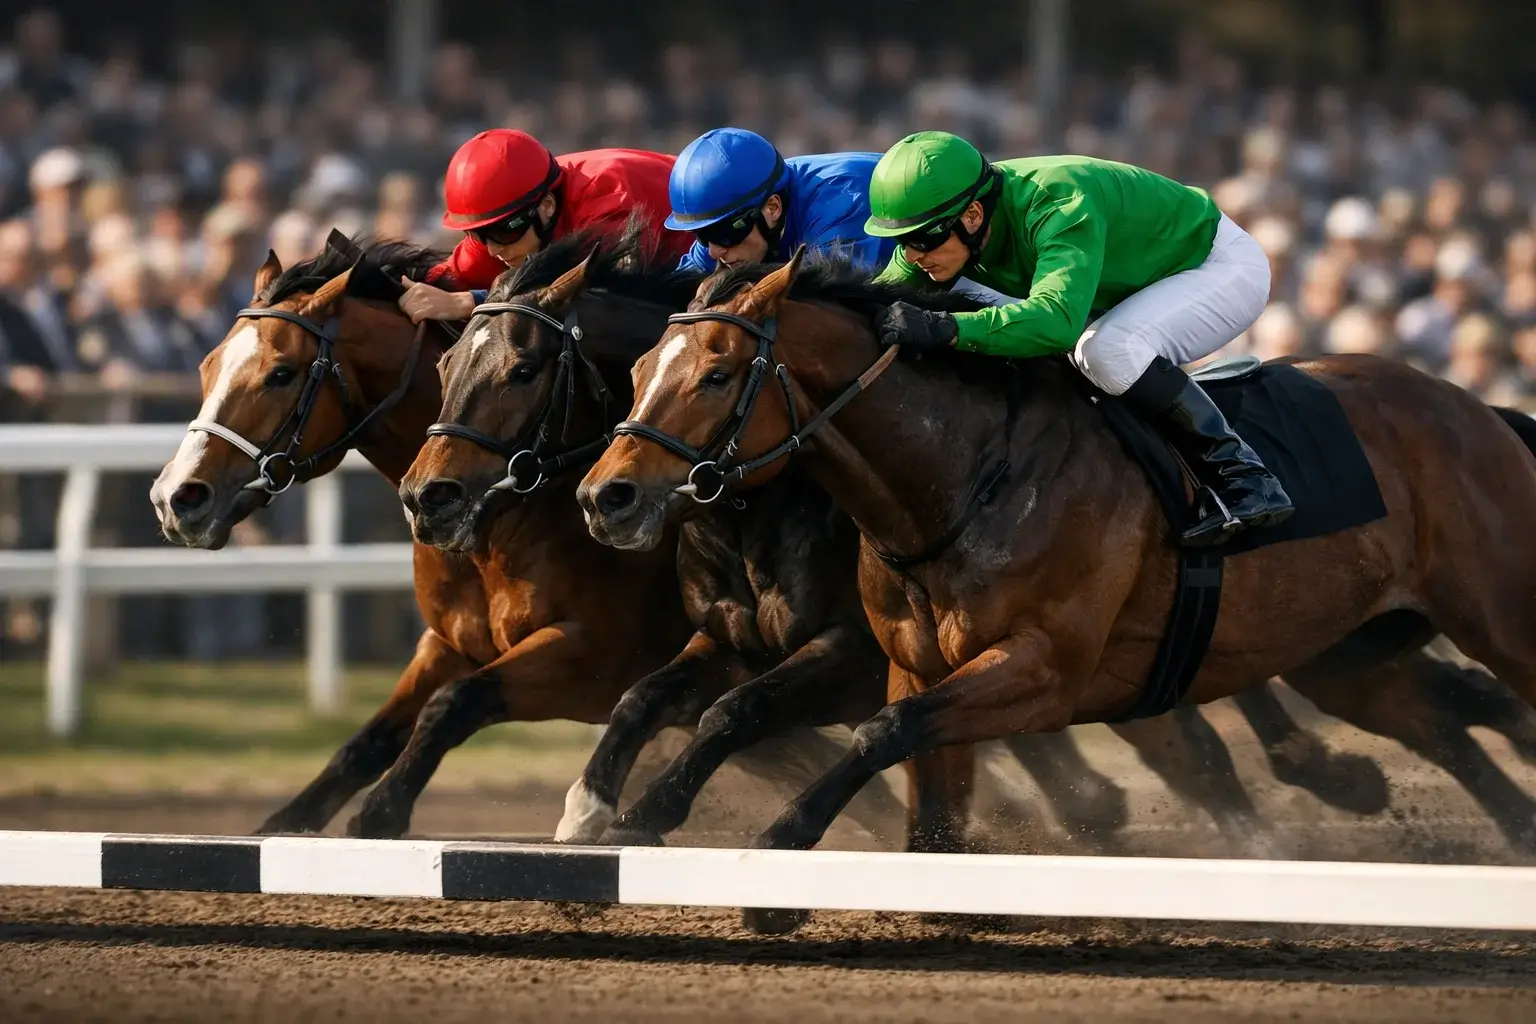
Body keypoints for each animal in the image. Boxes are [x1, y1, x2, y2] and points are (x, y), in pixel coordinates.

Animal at [576, 249, 1536, 864]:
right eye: (637, 373)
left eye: (716, 373)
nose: (604, 496)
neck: (963, 477)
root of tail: (1477, 407)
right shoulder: (906, 661)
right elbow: (713, 707)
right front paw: (620, 811)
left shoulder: (1040, 669)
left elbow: (861, 728)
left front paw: (771, 830)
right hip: (1351, 643)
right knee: (1447, 712)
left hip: (1490, 619)